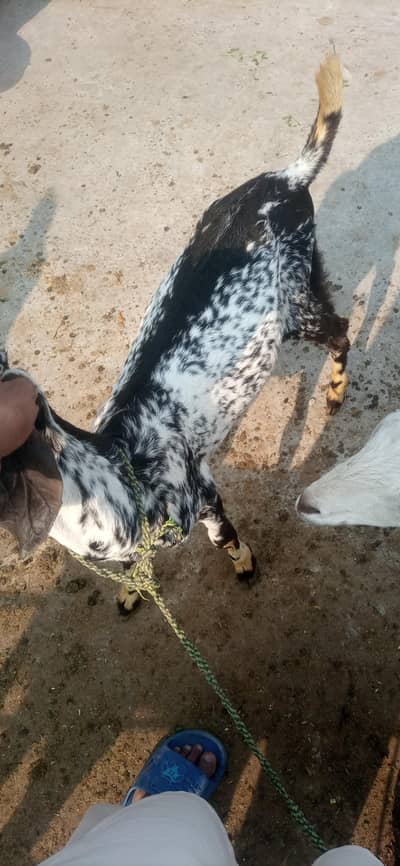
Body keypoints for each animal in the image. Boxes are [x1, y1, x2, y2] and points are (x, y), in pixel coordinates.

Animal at [0, 54, 350, 613]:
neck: (122, 470)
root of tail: (286, 178)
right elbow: (137, 572)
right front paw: (131, 594)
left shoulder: (203, 493)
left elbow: (224, 539)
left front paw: (246, 567)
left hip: (296, 301)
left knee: (339, 330)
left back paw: (336, 393)